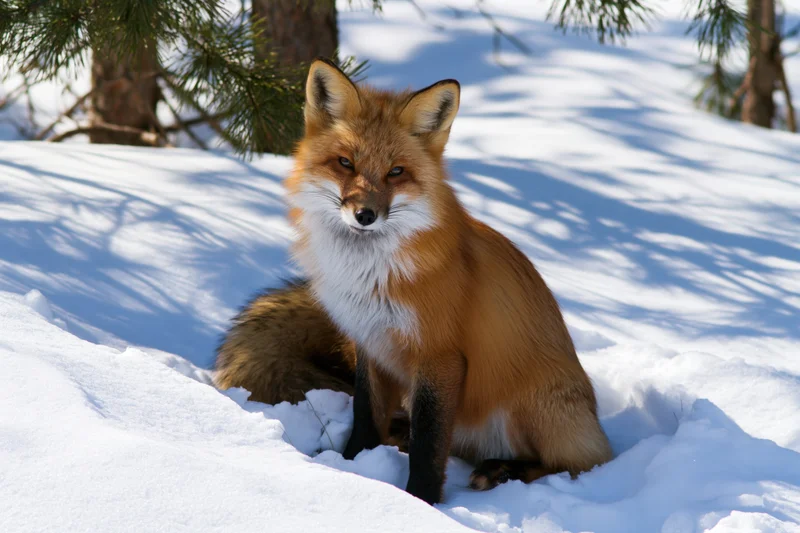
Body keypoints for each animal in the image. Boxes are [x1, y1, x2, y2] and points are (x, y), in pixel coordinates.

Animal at [215, 57, 613, 505]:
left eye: (396, 172)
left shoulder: (439, 356)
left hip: (530, 408)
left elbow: (429, 442)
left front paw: (420, 501)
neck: (369, 277)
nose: (365, 215)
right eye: (346, 163)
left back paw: (502, 470)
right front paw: (354, 466)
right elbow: (366, 415)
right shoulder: (369, 341)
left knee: (577, 463)